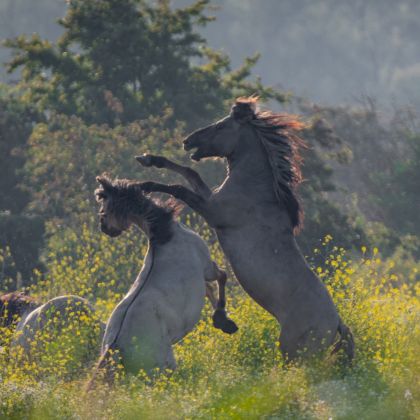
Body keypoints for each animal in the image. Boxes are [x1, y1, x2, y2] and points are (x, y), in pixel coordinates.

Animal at [92, 174, 236, 380]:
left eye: (103, 210)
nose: (104, 228)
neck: (165, 236)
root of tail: (115, 346)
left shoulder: (202, 277)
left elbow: (210, 289)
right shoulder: (207, 267)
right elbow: (222, 277)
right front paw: (223, 321)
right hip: (162, 368)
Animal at [135, 97, 354, 360]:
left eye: (221, 126)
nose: (188, 141)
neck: (255, 188)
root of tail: (337, 324)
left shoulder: (214, 211)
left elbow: (179, 187)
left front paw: (143, 185)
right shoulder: (211, 198)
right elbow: (189, 172)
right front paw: (148, 158)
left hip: (293, 352)